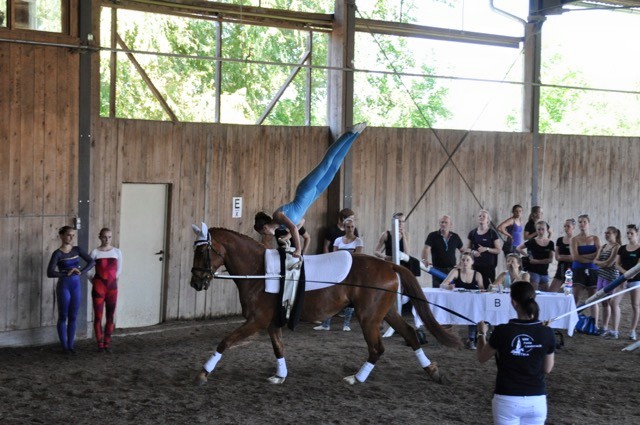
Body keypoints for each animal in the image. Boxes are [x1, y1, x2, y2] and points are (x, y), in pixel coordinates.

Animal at [190, 227, 460, 386]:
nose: (196, 282)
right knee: (411, 335)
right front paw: (280, 375)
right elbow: (278, 348)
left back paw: (357, 378)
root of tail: (389, 264)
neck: (261, 272)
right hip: (388, 312)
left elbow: (225, 342)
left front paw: (203, 372)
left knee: (377, 349)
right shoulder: (272, 322)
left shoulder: (256, 321)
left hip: (368, 317)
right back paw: (432, 371)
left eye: (202, 251)